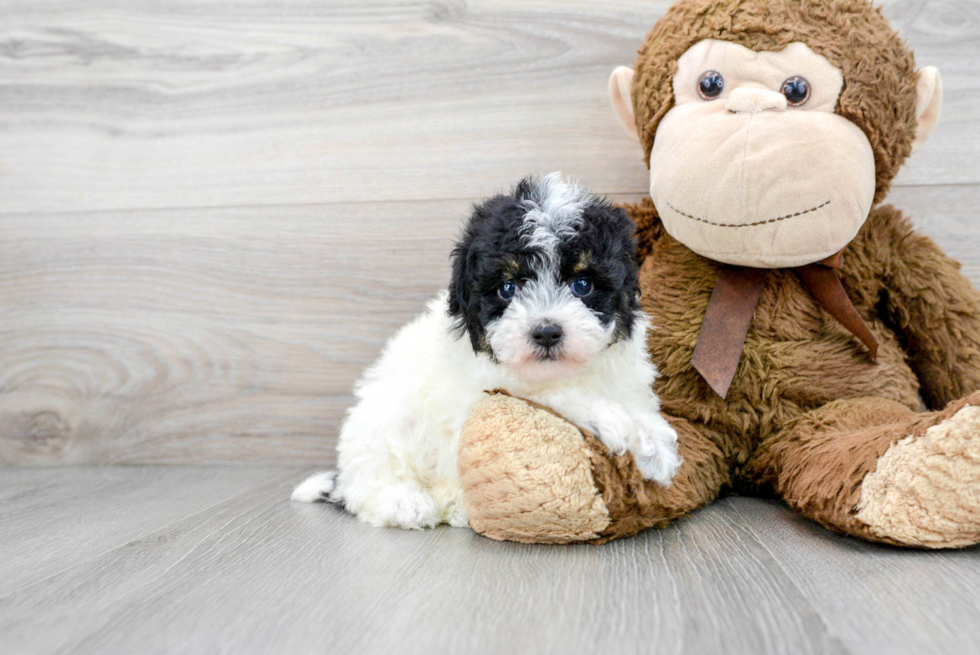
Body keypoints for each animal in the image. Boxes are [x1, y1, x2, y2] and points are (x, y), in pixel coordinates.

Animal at [290, 173, 680, 528]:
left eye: (582, 284)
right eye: (507, 288)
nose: (546, 332)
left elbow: (635, 404)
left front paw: (654, 441)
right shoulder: (491, 386)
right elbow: (553, 394)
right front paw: (617, 423)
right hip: (384, 420)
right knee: (372, 479)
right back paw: (404, 502)